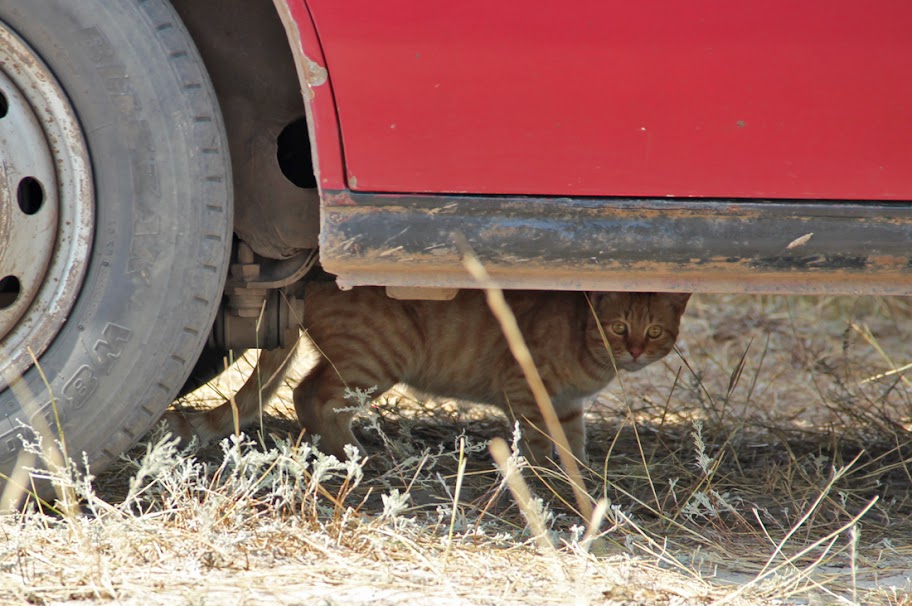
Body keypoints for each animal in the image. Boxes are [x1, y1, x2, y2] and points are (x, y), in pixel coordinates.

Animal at [166, 288, 692, 468]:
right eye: (618, 327)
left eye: (654, 331)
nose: (635, 349)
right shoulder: (527, 389)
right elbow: (540, 442)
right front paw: (550, 476)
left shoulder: (566, 405)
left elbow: (573, 442)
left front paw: (580, 477)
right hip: (377, 357)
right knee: (309, 394)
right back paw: (351, 454)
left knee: (308, 394)